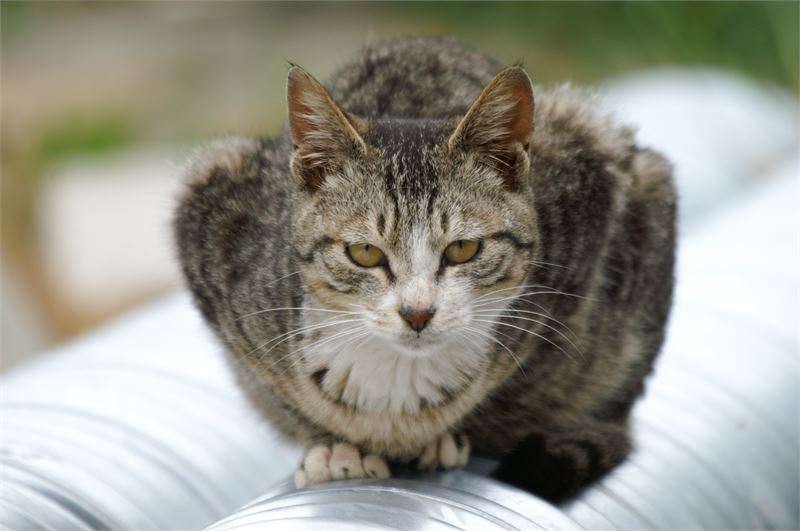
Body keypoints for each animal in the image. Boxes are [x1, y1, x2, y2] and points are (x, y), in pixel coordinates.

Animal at [174, 36, 676, 502]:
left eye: (463, 249)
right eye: (365, 253)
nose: (417, 313)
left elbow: (526, 378)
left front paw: (442, 435)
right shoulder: (208, 208)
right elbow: (280, 395)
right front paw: (333, 446)